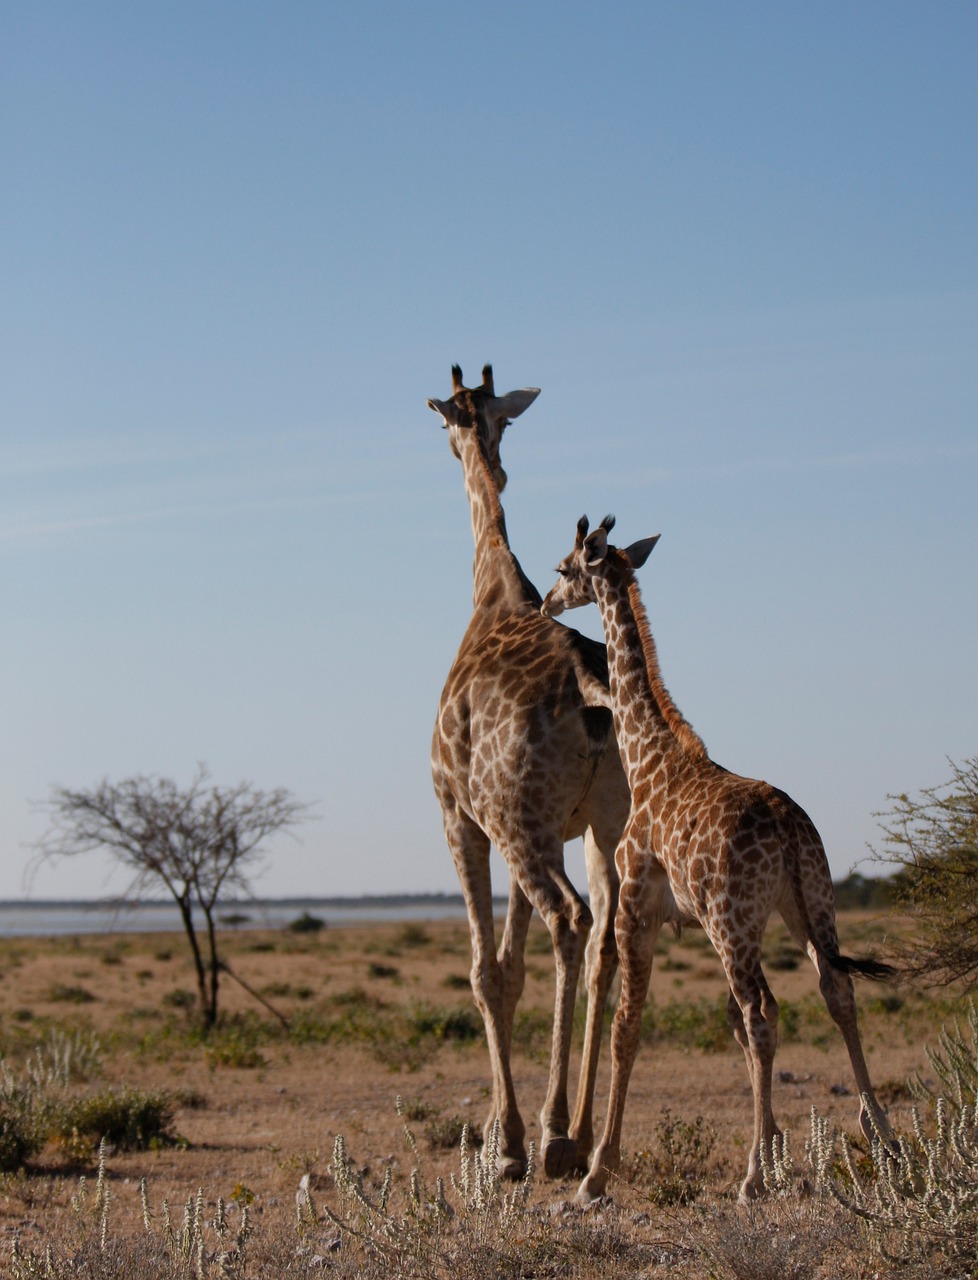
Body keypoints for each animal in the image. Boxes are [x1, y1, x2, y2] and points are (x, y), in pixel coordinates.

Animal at [430, 366, 634, 1172]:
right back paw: (581, 1131)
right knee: (608, 938)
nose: (462, 447)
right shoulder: (533, 824)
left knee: (572, 921)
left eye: (446, 424)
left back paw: (550, 1137)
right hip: (603, 824)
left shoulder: (462, 815)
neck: (490, 591)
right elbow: (513, 968)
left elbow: (487, 972)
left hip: (524, 827)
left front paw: (506, 1139)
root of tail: (588, 687)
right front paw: (498, 1126)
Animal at [542, 514, 896, 1203]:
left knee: (764, 1011)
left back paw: (754, 1177)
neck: (647, 757)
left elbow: (629, 1026)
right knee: (834, 989)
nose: (545, 604)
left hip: (735, 922)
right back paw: (883, 1139)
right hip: (808, 903)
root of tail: (788, 826)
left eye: (564, 568)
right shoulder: (687, 920)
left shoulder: (636, 909)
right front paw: (779, 1146)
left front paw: (598, 1169)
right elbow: (721, 1023)